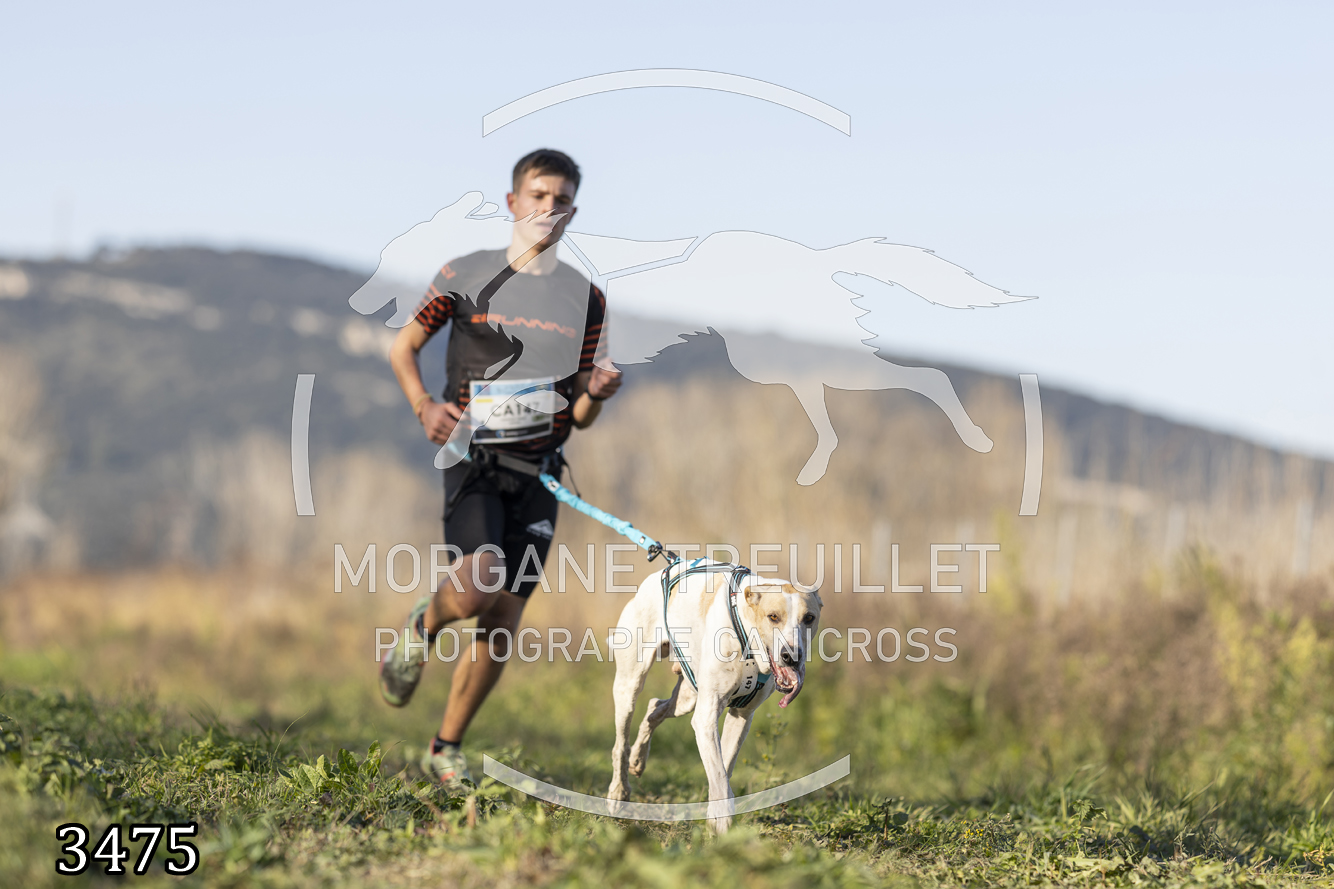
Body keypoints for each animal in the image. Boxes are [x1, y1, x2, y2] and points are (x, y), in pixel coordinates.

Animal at [607, 559, 823, 832]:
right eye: (773, 616)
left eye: (809, 618)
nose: (792, 655)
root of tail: (663, 569)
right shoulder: (706, 718)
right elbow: (718, 772)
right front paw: (722, 822)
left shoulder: (741, 716)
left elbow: (725, 765)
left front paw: (714, 817)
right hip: (630, 684)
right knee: (621, 743)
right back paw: (618, 791)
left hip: (688, 696)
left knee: (655, 708)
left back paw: (638, 759)